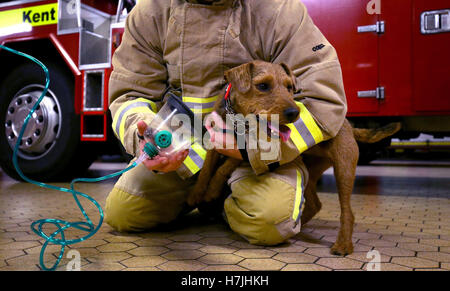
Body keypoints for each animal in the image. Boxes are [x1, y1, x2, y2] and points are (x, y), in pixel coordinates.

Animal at [186, 61, 400, 256]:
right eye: (263, 85)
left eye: (290, 86)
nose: (295, 113)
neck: (237, 119)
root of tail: (347, 124)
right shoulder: (213, 141)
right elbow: (206, 170)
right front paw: (196, 194)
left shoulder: (243, 151)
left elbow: (223, 168)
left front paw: (212, 191)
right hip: (312, 171)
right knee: (314, 203)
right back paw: (299, 227)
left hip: (344, 169)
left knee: (347, 211)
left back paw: (342, 245)